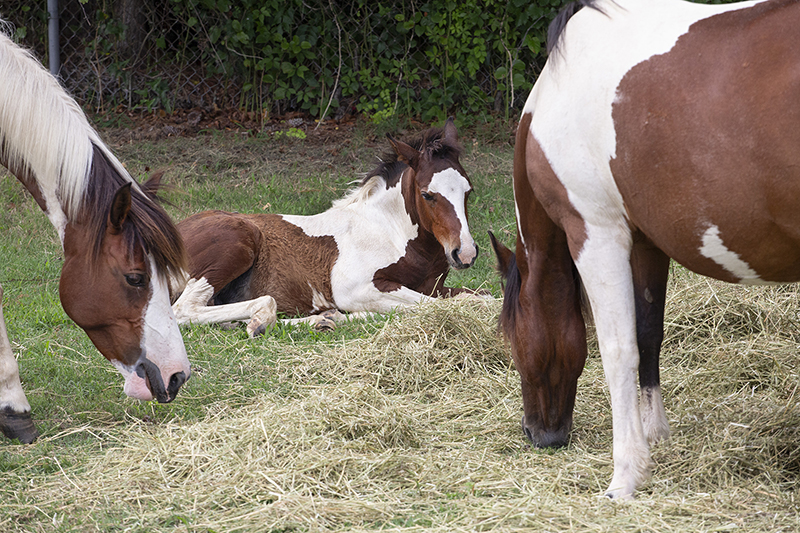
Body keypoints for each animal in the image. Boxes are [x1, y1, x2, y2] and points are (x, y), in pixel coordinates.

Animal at [172, 118, 478, 332]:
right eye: (427, 194)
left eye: (469, 190)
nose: (464, 254)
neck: (390, 232)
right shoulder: (355, 289)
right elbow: (437, 306)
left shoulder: (433, 288)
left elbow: (475, 298)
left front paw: (331, 317)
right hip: (237, 242)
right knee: (184, 311)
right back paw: (265, 320)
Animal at [490, 0, 800, 498]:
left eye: (514, 342)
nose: (538, 433)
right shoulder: (647, 243)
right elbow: (649, 332)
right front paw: (655, 433)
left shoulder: (596, 234)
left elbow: (618, 350)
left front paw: (626, 473)